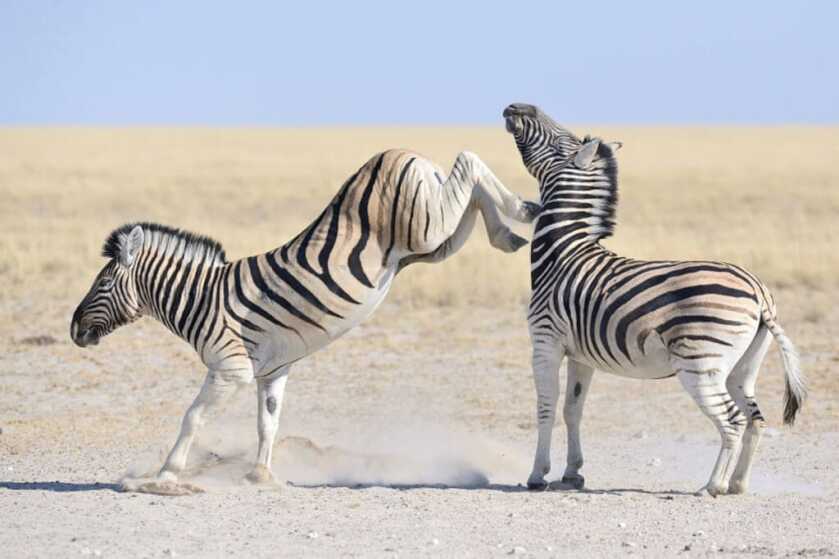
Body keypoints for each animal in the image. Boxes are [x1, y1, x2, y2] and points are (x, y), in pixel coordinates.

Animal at [70, 148, 539, 494]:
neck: (202, 299)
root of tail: (398, 152)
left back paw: (519, 211)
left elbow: (193, 417)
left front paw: (165, 474)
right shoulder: (271, 371)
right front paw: (260, 476)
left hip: (426, 225)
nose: (73, 330)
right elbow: (268, 423)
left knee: (469, 161)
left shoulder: (229, 369)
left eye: (102, 283)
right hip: (434, 241)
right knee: (470, 192)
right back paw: (511, 227)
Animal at [502, 103, 806, 496]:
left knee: (733, 420)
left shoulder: (545, 340)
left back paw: (712, 485)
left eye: (560, 140)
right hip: (743, 367)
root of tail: (757, 291)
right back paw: (738, 484)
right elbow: (573, 409)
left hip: (699, 364)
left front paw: (538, 475)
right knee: (755, 419)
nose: (516, 106)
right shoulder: (580, 353)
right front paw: (572, 474)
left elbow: (546, 407)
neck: (562, 252)